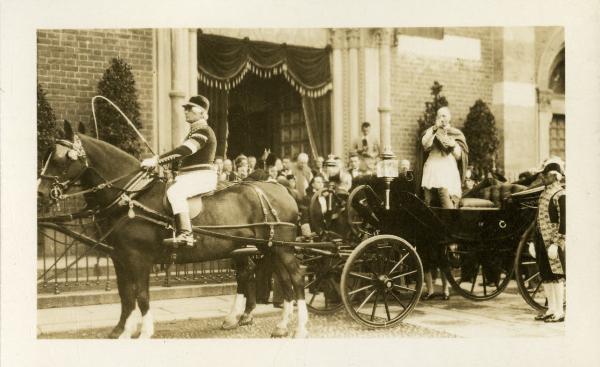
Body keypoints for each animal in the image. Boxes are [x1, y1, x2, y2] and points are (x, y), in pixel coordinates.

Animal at [38, 122, 310, 340]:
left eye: (62, 158)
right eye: (48, 154)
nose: (41, 193)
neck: (133, 195)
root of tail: (281, 188)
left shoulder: (138, 259)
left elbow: (141, 295)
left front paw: (144, 332)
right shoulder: (119, 258)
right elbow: (125, 295)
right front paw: (122, 331)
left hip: (282, 249)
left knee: (296, 279)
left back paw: (300, 328)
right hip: (269, 248)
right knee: (278, 280)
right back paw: (278, 326)